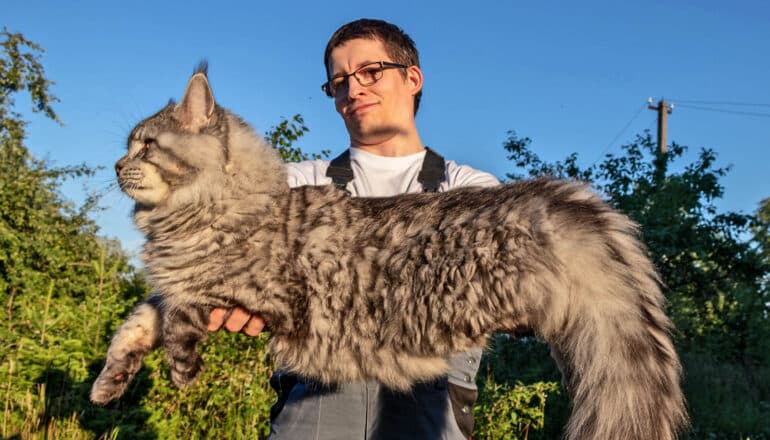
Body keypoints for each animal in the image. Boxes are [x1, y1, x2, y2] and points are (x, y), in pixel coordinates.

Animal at [93, 66, 688, 440]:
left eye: (146, 147)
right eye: (128, 147)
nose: (116, 166)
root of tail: (544, 200)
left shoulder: (264, 296)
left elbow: (179, 317)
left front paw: (181, 370)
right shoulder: (171, 286)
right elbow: (140, 320)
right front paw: (110, 381)